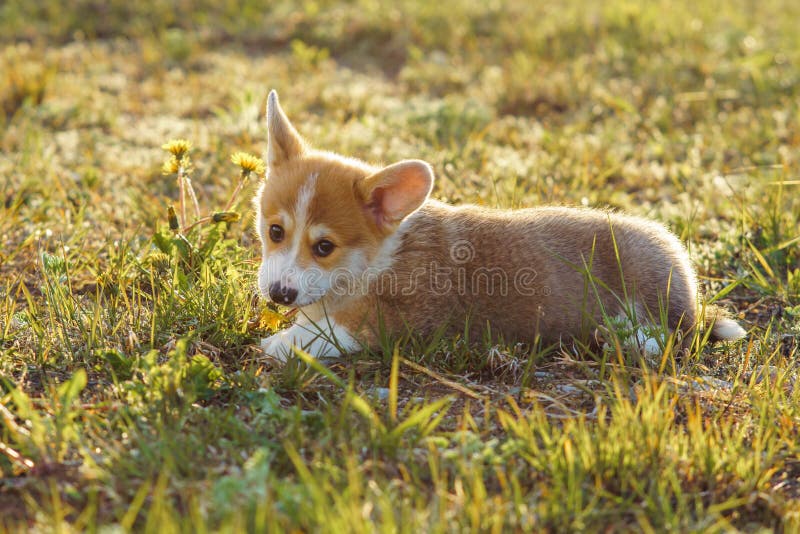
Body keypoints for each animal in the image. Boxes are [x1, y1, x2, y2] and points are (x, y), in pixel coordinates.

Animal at [255, 90, 744, 362]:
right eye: (276, 232)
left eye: (324, 247)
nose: (280, 294)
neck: (376, 261)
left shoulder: (396, 322)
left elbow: (328, 331)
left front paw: (282, 344)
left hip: (653, 290)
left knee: (673, 336)